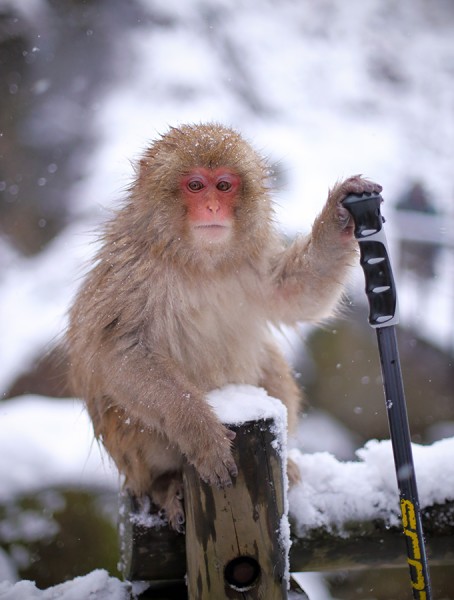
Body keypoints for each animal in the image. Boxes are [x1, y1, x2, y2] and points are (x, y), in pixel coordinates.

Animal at [65, 122, 382, 528]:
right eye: (196, 185)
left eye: (225, 185)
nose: (213, 206)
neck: (200, 263)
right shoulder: (130, 271)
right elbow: (119, 350)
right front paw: (200, 433)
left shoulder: (252, 261)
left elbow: (294, 293)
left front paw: (339, 216)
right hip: (130, 455)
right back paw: (164, 484)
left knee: (269, 362)